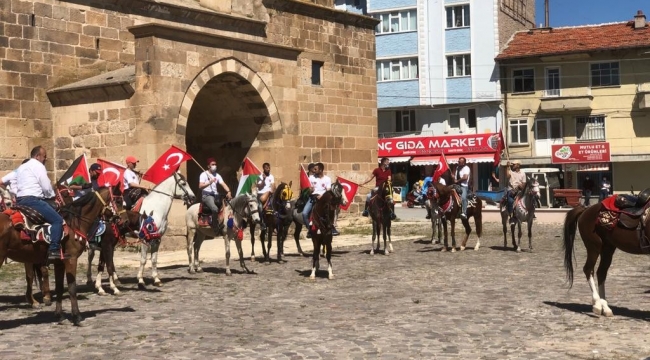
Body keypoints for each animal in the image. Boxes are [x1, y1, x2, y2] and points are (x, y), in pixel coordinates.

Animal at [0, 188, 115, 326]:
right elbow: (71, 288)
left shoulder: (59, 263)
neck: (74, 223)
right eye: (115, 199)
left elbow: (59, 287)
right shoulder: (71, 259)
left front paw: (59, 315)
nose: (117, 218)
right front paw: (77, 317)